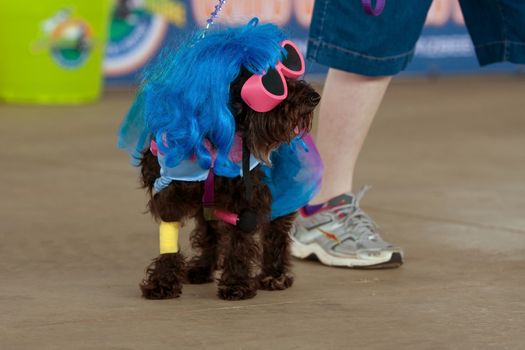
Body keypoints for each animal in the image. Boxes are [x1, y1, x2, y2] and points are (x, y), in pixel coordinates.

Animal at [119, 19, 322, 300]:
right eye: (272, 81)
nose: (314, 97)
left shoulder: (245, 195)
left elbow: (239, 241)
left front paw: (236, 283)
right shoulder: (170, 189)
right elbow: (170, 239)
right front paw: (163, 281)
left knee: (276, 233)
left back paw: (274, 274)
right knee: (210, 232)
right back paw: (202, 268)